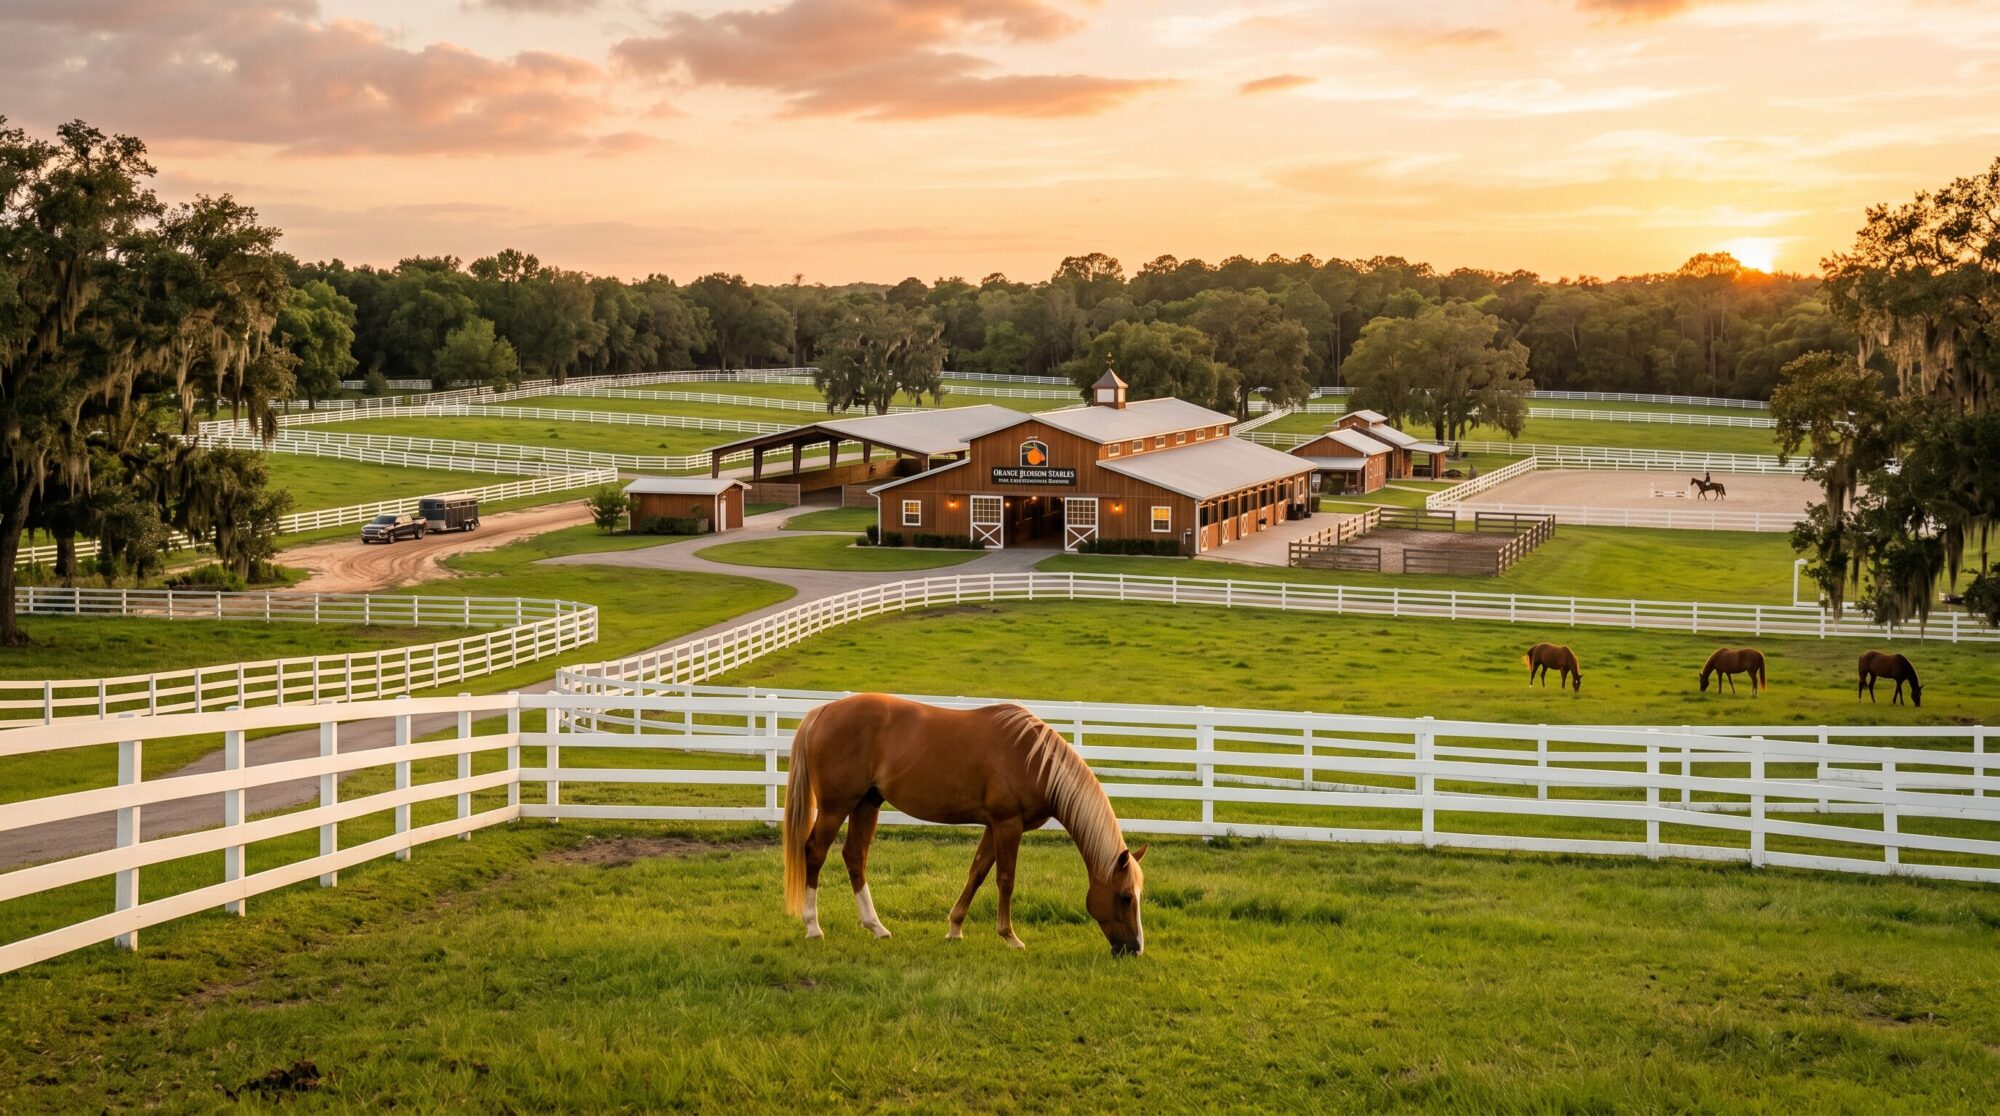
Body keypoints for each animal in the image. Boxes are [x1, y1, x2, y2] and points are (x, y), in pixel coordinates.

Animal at [782, 693, 1147, 955]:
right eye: (1125, 897)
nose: (1134, 949)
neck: (1034, 760)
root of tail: (822, 712)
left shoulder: (994, 825)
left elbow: (978, 872)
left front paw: (955, 929)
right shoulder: (1008, 824)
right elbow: (1005, 879)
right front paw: (1010, 937)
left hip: (866, 803)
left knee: (855, 857)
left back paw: (876, 927)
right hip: (836, 806)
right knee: (815, 852)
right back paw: (813, 927)